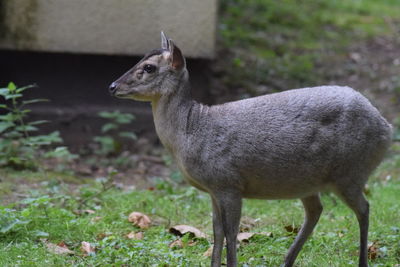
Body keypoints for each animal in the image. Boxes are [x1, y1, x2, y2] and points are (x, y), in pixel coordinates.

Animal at [108, 32, 392, 266]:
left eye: (148, 67)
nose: (112, 86)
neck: (192, 130)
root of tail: (386, 128)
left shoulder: (229, 183)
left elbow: (231, 232)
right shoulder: (214, 190)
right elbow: (217, 232)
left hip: (350, 172)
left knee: (364, 208)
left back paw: (361, 261)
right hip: (308, 181)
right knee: (316, 211)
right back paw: (287, 260)